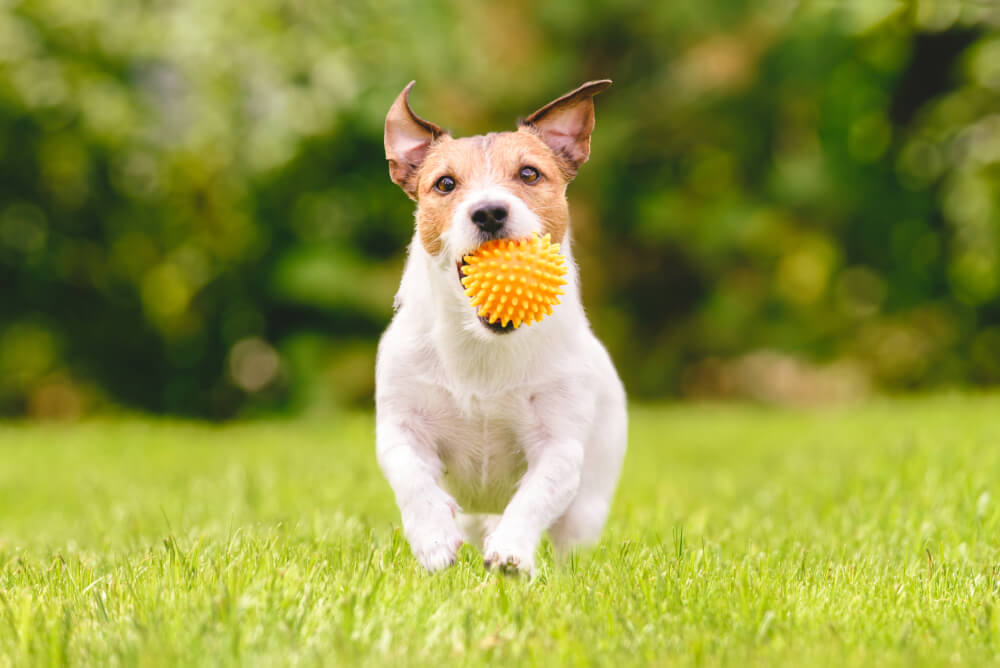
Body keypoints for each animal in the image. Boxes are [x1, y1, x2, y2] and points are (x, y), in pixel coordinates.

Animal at [376, 79, 624, 576]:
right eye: (445, 183)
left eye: (529, 174)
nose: (489, 212)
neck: (483, 347)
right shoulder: (400, 427)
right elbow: (413, 479)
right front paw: (433, 539)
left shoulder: (559, 445)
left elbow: (535, 496)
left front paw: (511, 552)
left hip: (589, 503)